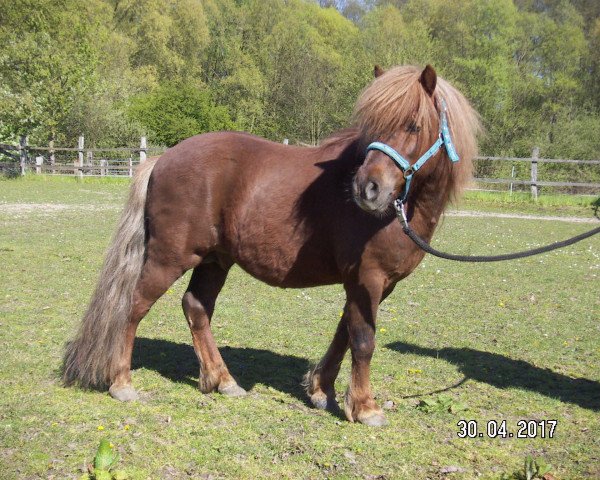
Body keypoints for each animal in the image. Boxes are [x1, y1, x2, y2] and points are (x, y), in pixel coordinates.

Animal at [63, 65, 480, 426]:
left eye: (413, 125)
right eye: (370, 128)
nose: (367, 189)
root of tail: (164, 158)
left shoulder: (372, 284)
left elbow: (344, 333)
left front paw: (321, 390)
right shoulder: (368, 278)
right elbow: (363, 340)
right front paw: (365, 407)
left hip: (214, 260)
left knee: (196, 306)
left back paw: (223, 381)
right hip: (170, 257)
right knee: (134, 305)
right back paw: (122, 384)